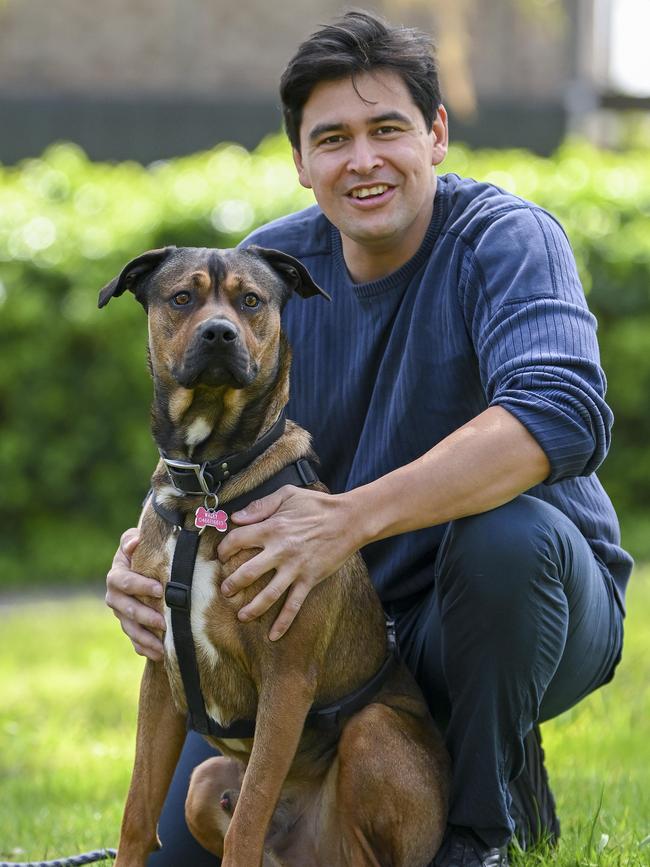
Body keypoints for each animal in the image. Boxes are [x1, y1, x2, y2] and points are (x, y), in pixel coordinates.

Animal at [98, 246, 448, 867]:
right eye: (181, 298)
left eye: (251, 300)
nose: (219, 333)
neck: (206, 486)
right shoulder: (160, 678)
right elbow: (137, 814)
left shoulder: (286, 678)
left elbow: (249, 818)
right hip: (205, 783)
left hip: (373, 733)